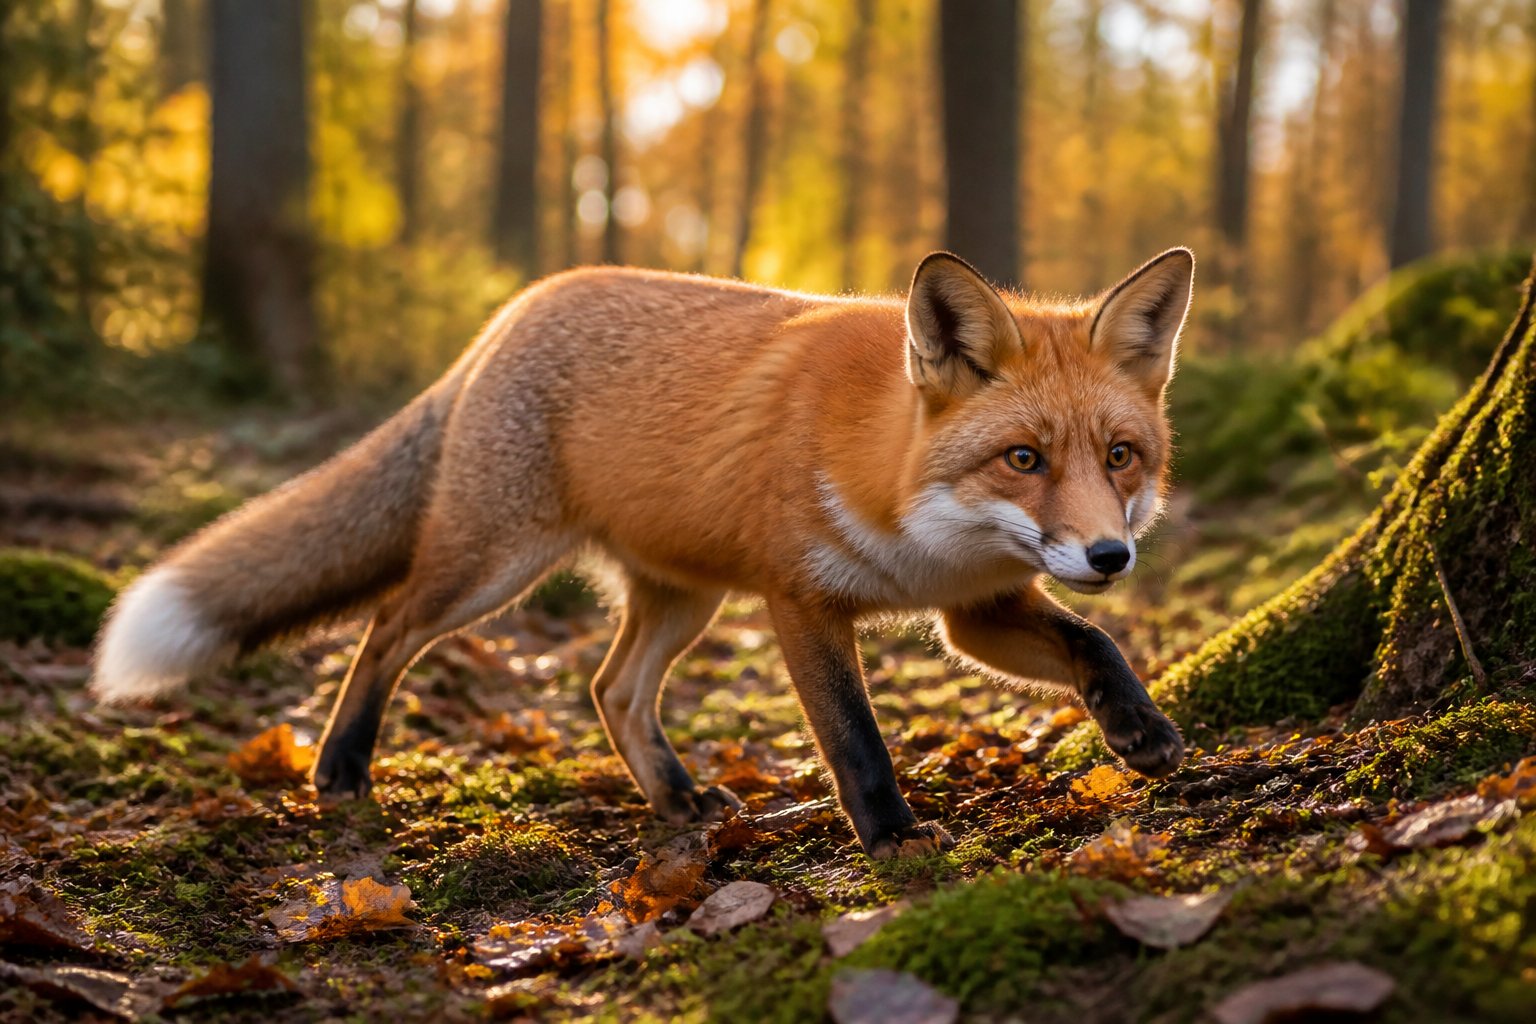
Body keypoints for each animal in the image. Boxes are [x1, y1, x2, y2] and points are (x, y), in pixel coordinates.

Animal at [91, 248, 1192, 859]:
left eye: (1120, 456)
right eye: (1023, 459)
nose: (1108, 555)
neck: (907, 502)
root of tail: (519, 308)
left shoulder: (974, 609)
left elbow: (1093, 644)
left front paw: (1140, 731)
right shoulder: (800, 602)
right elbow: (854, 740)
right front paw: (892, 840)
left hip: (681, 597)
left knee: (611, 689)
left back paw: (675, 798)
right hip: (492, 567)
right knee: (387, 626)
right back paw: (341, 767)